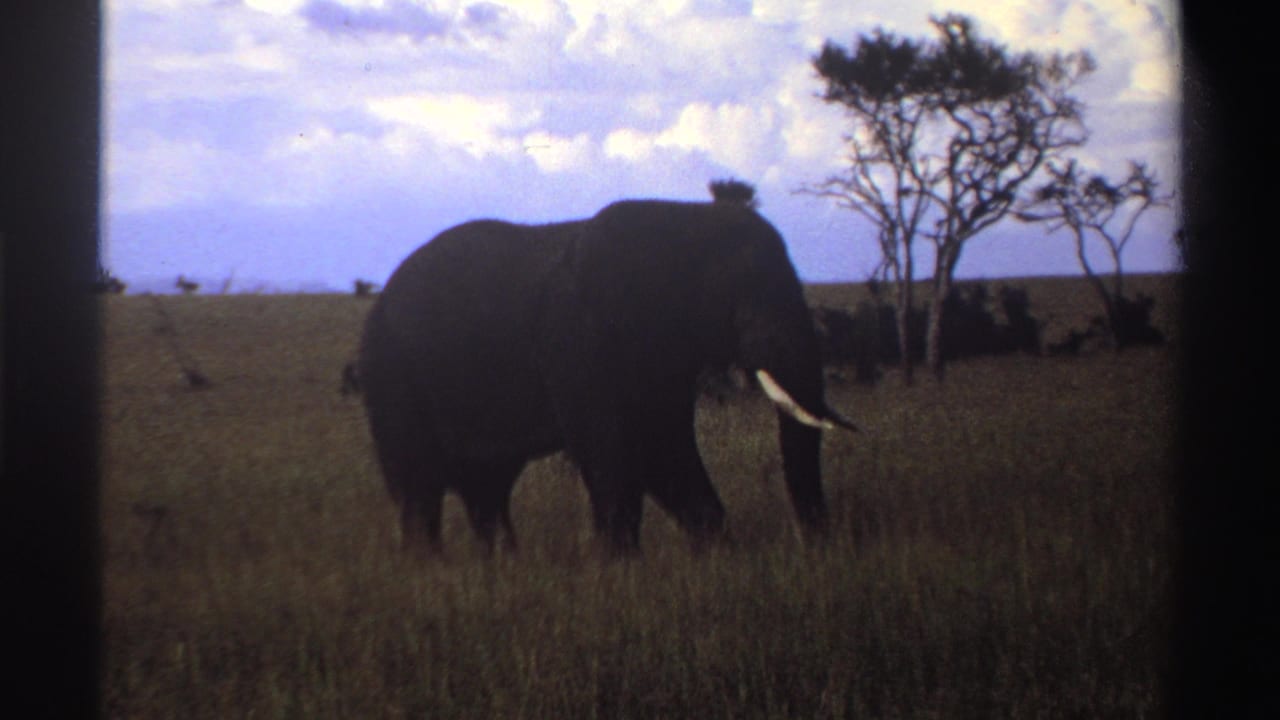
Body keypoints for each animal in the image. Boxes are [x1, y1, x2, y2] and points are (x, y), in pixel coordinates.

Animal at [358, 199, 856, 557]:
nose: (815, 543)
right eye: (739, 296)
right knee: (419, 485)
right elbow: (615, 448)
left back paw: (498, 563)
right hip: (391, 375)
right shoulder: (577, 339)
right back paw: (431, 569)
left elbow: (663, 448)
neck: (683, 219)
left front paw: (719, 554)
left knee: (486, 487)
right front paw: (619, 569)